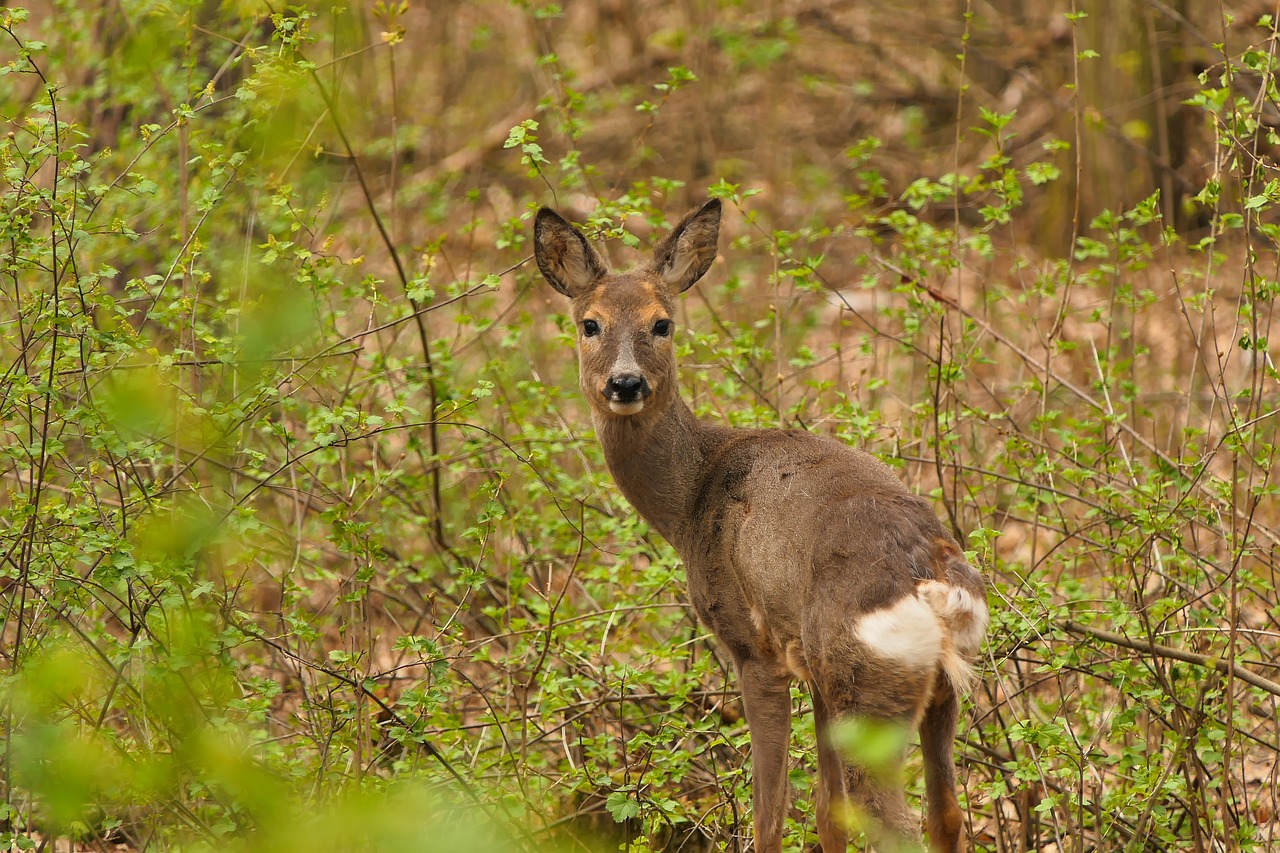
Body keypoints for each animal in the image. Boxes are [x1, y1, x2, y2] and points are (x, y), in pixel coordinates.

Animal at [533, 198, 988, 853]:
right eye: (589, 323)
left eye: (662, 323)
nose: (625, 383)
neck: (691, 500)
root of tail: (932, 582)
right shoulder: (808, 666)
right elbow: (827, 811)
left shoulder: (754, 648)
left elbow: (769, 816)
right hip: (932, 688)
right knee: (945, 815)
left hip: (867, 682)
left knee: (894, 823)